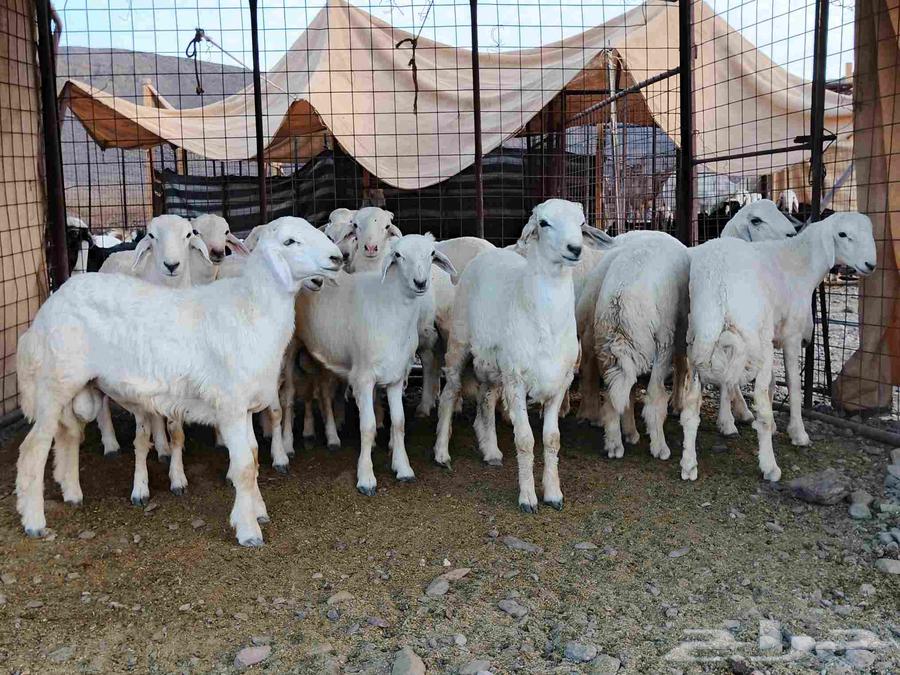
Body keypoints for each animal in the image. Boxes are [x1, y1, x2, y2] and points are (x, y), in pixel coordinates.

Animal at [15, 217, 342, 545]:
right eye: (290, 242)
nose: (337, 258)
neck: (251, 309)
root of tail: (48, 307)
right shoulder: (231, 406)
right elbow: (244, 468)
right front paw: (249, 530)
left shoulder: (246, 406)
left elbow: (252, 456)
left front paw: (256, 511)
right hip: (53, 383)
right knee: (33, 449)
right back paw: (34, 521)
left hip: (77, 386)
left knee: (68, 435)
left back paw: (72, 493)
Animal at [295, 234, 456, 494]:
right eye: (398, 255)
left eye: (432, 253)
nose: (420, 282)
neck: (390, 309)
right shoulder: (362, 377)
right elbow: (368, 426)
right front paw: (366, 477)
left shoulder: (396, 376)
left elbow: (399, 422)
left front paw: (403, 468)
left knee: (320, 391)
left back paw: (327, 435)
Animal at [433, 199, 614, 512]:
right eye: (543, 223)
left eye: (581, 223)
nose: (575, 249)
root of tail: (490, 253)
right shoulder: (516, 383)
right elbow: (525, 441)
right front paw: (528, 497)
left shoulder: (559, 383)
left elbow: (552, 440)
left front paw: (553, 493)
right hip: (459, 343)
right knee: (450, 393)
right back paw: (442, 453)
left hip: (494, 364)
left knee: (486, 397)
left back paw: (491, 450)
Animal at [679, 212, 876, 482]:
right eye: (842, 234)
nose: (870, 265)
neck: (800, 264)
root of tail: (719, 285)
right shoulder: (791, 337)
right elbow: (793, 386)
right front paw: (798, 433)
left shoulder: (770, 337)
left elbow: (773, 383)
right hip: (751, 343)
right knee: (760, 405)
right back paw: (769, 466)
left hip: (701, 339)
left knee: (691, 406)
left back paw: (689, 465)